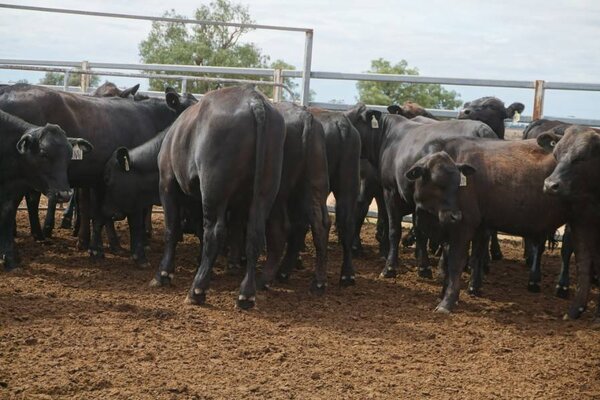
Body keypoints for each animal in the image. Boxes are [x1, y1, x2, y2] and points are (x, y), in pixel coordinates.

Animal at [0, 109, 92, 270]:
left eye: (70, 155)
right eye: (43, 153)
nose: (64, 194)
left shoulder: (13, 192)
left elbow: (6, 215)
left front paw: (10, 257)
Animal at [147, 86, 284, 308]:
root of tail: (254, 101)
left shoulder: (167, 183)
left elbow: (172, 229)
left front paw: (164, 273)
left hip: (214, 190)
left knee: (214, 233)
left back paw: (197, 290)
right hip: (265, 189)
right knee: (254, 235)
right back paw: (246, 294)